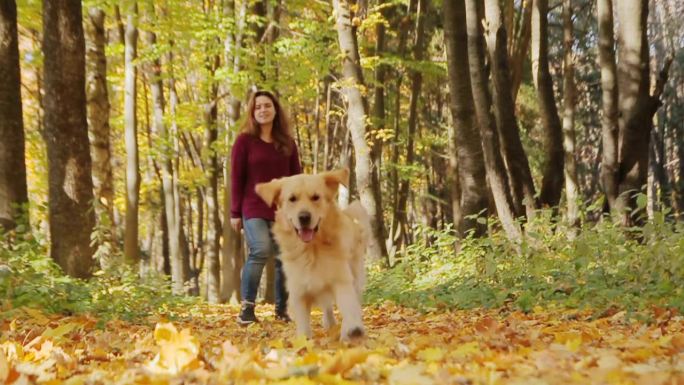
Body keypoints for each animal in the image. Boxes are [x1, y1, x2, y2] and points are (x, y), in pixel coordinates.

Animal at [255, 168, 368, 340]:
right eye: (292, 199)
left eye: (315, 197)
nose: (304, 217)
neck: (311, 250)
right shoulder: (299, 291)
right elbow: (303, 324)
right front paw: (304, 340)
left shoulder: (341, 280)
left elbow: (348, 306)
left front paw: (352, 328)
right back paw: (330, 323)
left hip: (355, 274)